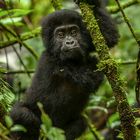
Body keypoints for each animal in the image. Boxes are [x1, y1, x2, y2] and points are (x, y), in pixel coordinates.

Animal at [10, 1, 118, 140]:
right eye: (60, 35)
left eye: (73, 32)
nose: (70, 42)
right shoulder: (53, 62)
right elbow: (89, 79)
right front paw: (97, 63)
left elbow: (108, 38)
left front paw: (92, 3)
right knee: (21, 113)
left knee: (80, 122)